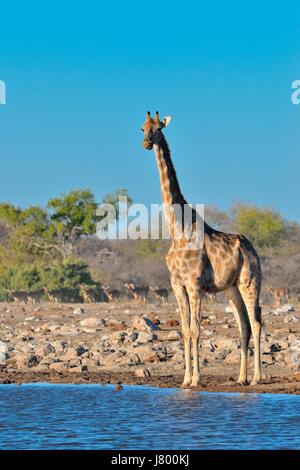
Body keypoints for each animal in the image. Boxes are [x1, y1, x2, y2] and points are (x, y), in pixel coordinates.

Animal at [141, 112, 262, 388]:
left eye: (159, 128)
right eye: (142, 128)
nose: (146, 143)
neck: (177, 230)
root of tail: (253, 251)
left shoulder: (194, 283)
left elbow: (196, 329)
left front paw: (196, 379)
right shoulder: (177, 284)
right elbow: (185, 330)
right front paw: (185, 379)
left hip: (250, 282)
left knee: (257, 322)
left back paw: (257, 378)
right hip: (231, 288)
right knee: (244, 324)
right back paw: (241, 378)